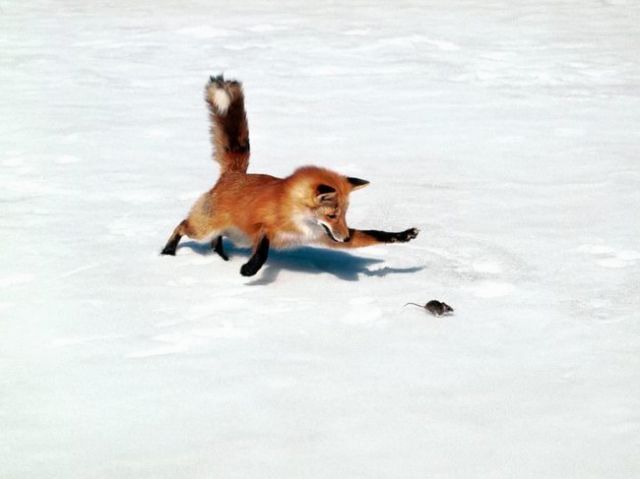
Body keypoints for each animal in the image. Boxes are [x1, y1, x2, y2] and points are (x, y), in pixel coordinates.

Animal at [161, 75, 419, 276]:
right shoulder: (263, 227)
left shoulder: (324, 236)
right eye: (332, 215)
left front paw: (403, 235)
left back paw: (221, 257)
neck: (297, 217)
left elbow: (376, 234)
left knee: (215, 240)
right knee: (182, 226)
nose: (346, 238)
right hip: (203, 228)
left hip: (229, 233)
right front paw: (250, 269)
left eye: (345, 215)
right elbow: (263, 249)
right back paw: (167, 251)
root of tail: (233, 173)